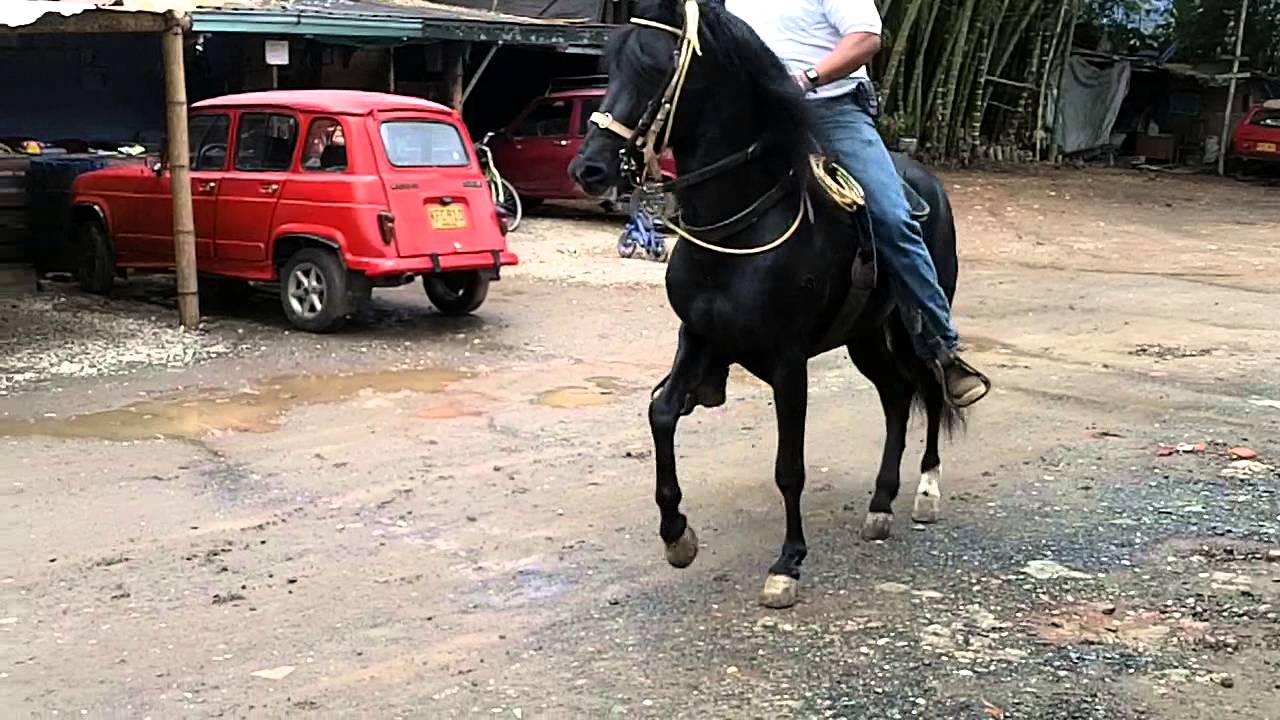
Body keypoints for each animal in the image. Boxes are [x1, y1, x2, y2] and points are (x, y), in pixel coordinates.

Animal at [569, 0, 965, 609]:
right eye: (610, 67)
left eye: (655, 70)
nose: (590, 168)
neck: (741, 223)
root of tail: (928, 183)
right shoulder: (698, 336)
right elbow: (662, 414)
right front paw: (677, 536)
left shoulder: (788, 361)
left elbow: (789, 468)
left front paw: (788, 563)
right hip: (865, 337)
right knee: (898, 395)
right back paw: (879, 505)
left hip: (914, 321)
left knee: (933, 383)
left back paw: (925, 491)